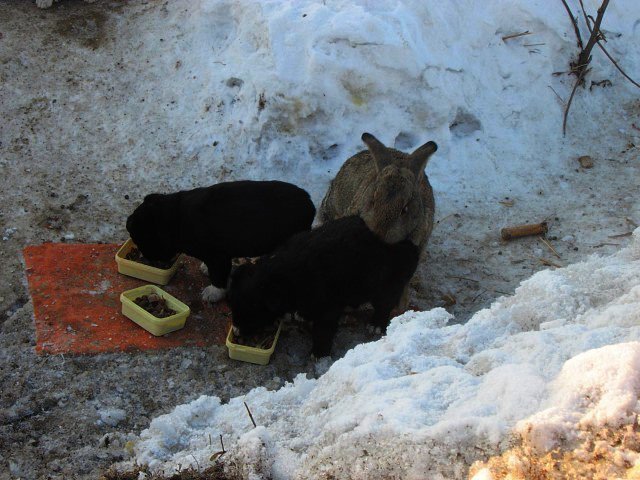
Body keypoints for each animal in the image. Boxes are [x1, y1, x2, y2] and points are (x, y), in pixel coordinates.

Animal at [125, 181, 316, 304]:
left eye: (141, 240)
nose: (144, 258)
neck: (175, 219)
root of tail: (310, 204)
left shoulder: (218, 257)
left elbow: (218, 276)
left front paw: (213, 293)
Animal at [229, 215, 420, 356]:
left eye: (253, 313)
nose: (236, 332)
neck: (283, 276)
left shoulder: (328, 306)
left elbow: (323, 330)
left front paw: (319, 352)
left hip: (384, 281)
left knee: (385, 302)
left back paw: (376, 324)